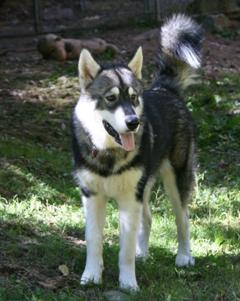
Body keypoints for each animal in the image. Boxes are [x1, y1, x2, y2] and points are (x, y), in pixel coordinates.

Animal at [71, 15, 202, 290]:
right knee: (149, 218)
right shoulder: (92, 197)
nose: (133, 122)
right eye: (111, 98)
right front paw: (92, 275)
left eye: (133, 97)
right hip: (144, 187)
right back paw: (144, 253)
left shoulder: (129, 198)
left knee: (183, 219)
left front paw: (128, 283)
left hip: (176, 180)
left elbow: (125, 250)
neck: (109, 154)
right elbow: (94, 240)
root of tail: (164, 89)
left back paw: (184, 256)